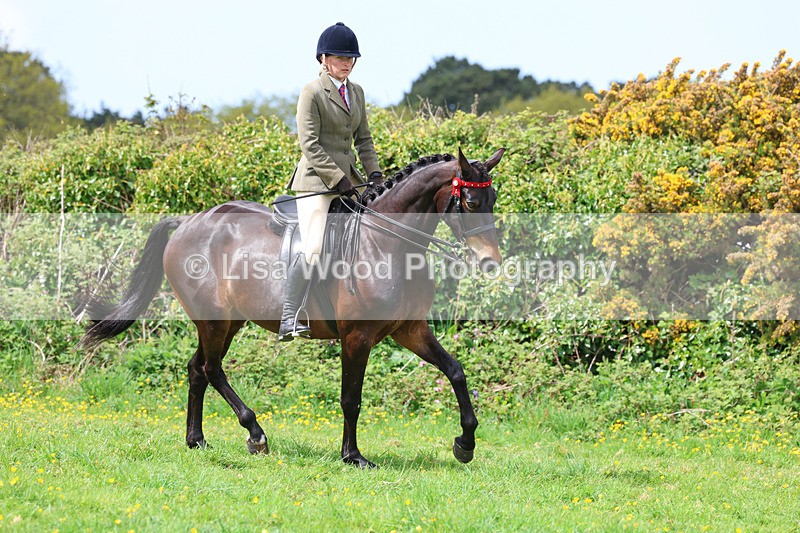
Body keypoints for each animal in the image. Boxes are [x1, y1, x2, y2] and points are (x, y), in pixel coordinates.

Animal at [80, 147, 505, 468]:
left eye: (493, 199)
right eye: (470, 201)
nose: (490, 262)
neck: (388, 243)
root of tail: (188, 222)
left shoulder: (410, 329)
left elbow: (456, 372)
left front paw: (465, 443)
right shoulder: (357, 337)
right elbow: (351, 399)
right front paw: (353, 456)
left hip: (229, 322)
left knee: (197, 369)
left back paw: (196, 439)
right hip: (213, 320)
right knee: (211, 369)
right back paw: (255, 434)